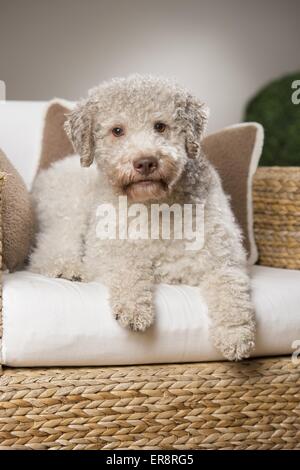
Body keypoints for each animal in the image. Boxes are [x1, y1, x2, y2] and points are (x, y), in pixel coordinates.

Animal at [29, 75, 255, 360]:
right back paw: (68, 268)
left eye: (160, 126)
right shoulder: (105, 251)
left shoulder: (222, 258)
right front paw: (134, 307)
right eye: (117, 130)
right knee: (48, 250)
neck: (155, 206)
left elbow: (230, 289)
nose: (146, 162)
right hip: (69, 209)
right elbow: (126, 266)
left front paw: (235, 335)